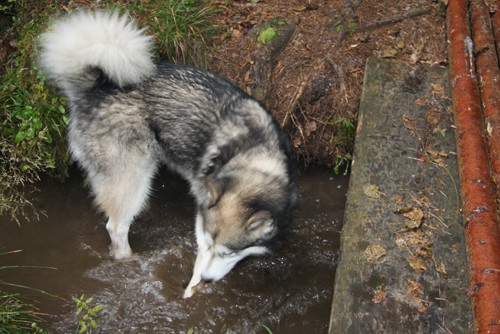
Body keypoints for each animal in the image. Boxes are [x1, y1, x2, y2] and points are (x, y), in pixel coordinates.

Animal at [40, 10, 296, 298]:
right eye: (209, 246)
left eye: (229, 253)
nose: (207, 279)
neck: (253, 154)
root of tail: (97, 88)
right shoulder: (201, 221)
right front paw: (190, 293)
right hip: (133, 176)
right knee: (115, 227)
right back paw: (127, 259)